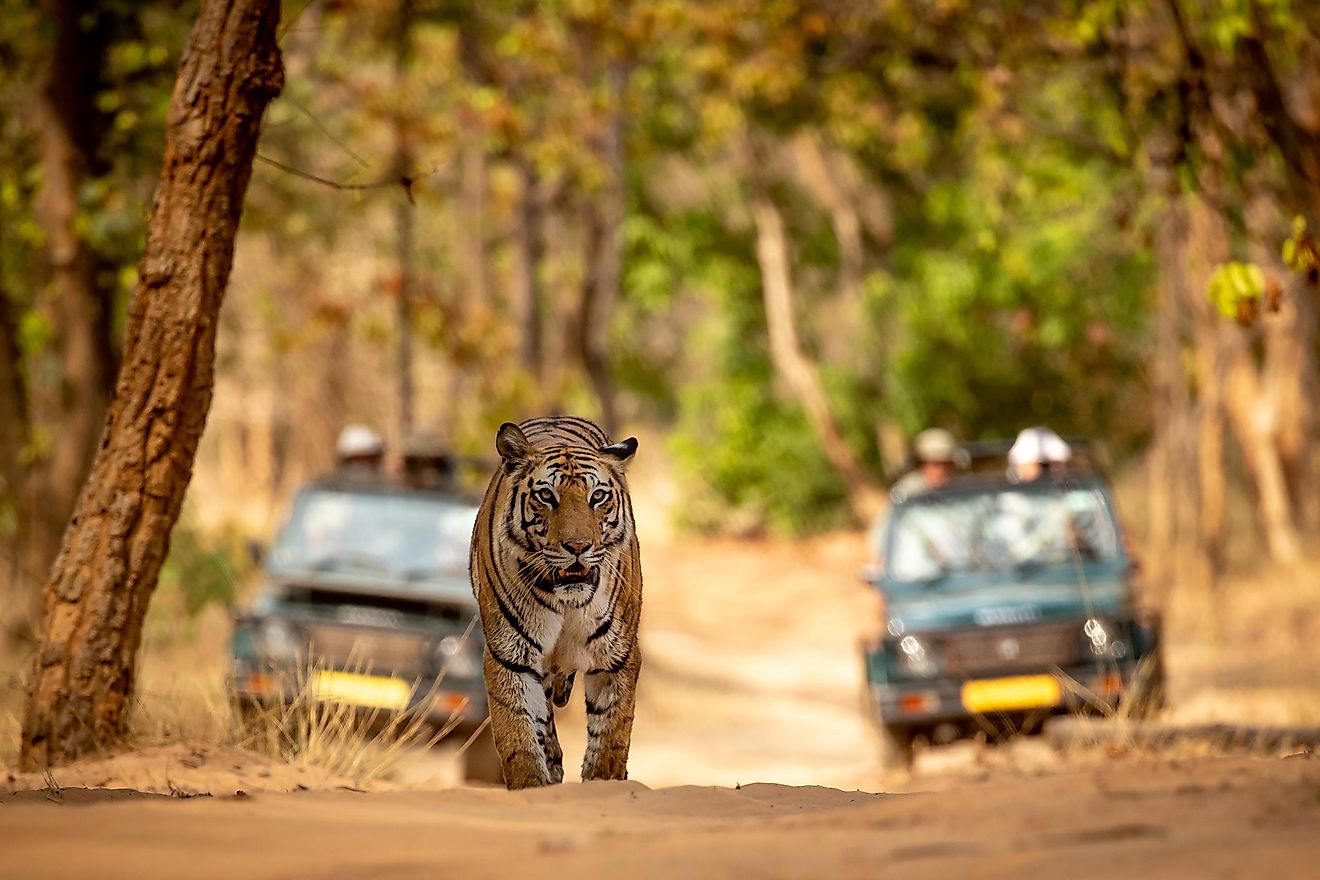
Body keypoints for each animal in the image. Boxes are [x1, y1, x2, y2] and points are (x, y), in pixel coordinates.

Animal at [469, 414, 644, 791]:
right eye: (546, 495)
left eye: (598, 496)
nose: (578, 546)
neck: (566, 603)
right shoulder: (510, 656)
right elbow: (518, 733)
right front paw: (531, 785)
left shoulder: (617, 656)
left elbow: (611, 735)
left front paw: (603, 782)